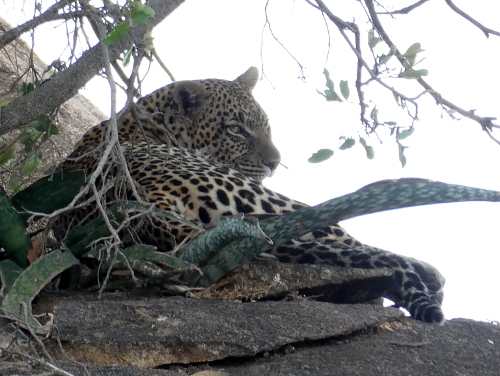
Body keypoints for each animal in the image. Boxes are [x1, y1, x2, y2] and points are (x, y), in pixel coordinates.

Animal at [57, 67, 446, 324]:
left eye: (266, 126)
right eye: (236, 130)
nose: (275, 163)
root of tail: (145, 203)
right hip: (276, 203)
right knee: (349, 241)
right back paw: (430, 275)